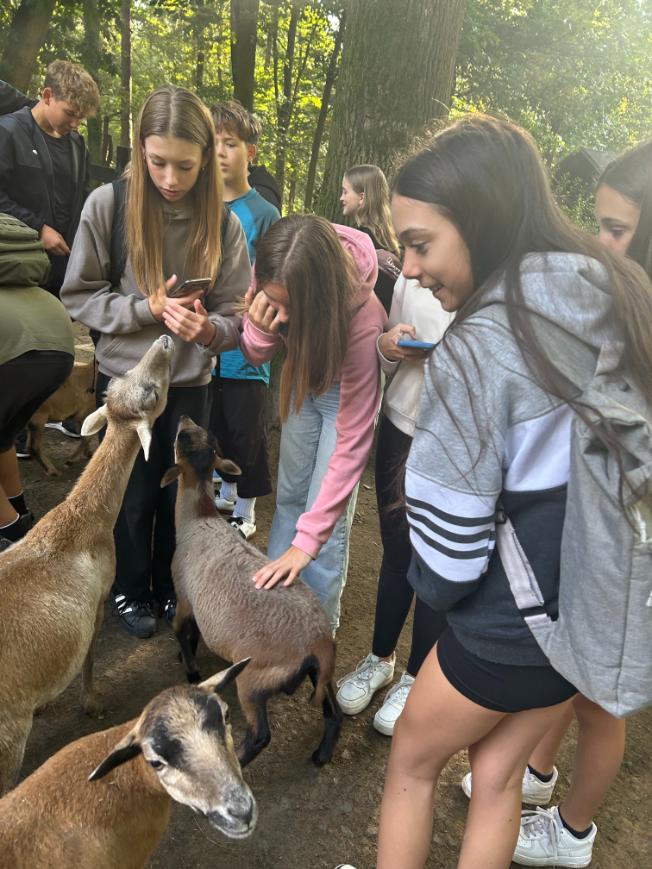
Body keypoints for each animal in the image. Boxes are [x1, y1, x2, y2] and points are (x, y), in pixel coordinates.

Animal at [27, 345, 97, 476]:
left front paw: (88, 453)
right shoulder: (85, 414)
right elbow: (87, 436)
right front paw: (70, 461)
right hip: (38, 417)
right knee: (34, 447)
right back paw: (52, 470)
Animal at [161, 416, 343, 769]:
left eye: (180, 439)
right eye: (201, 434)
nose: (184, 418)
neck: (198, 517)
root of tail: (319, 641)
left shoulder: (184, 595)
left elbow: (178, 628)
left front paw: (190, 668)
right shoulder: (198, 604)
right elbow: (193, 631)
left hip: (254, 678)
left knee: (261, 736)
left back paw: (239, 763)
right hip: (317, 676)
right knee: (333, 710)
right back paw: (322, 754)